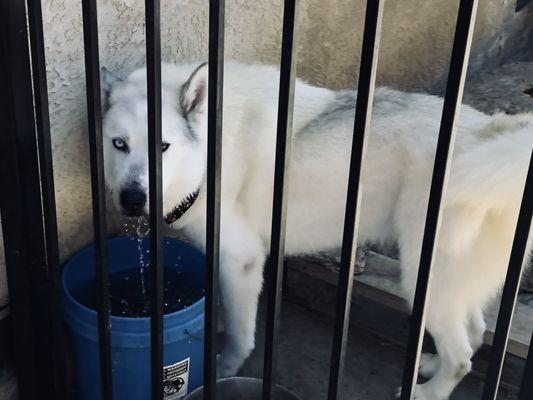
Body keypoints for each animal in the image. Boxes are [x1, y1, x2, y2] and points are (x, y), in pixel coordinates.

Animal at [102, 61, 528, 398]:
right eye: (119, 144)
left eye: (162, 147)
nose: (132, 199)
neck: (212, 149)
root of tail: (490, 132)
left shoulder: (242, 260)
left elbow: (241, 333)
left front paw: (224, 367)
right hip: (452, 281)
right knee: (475, 332)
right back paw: (428, 366)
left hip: (423, 277)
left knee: (462, 357)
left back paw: (425, 392)